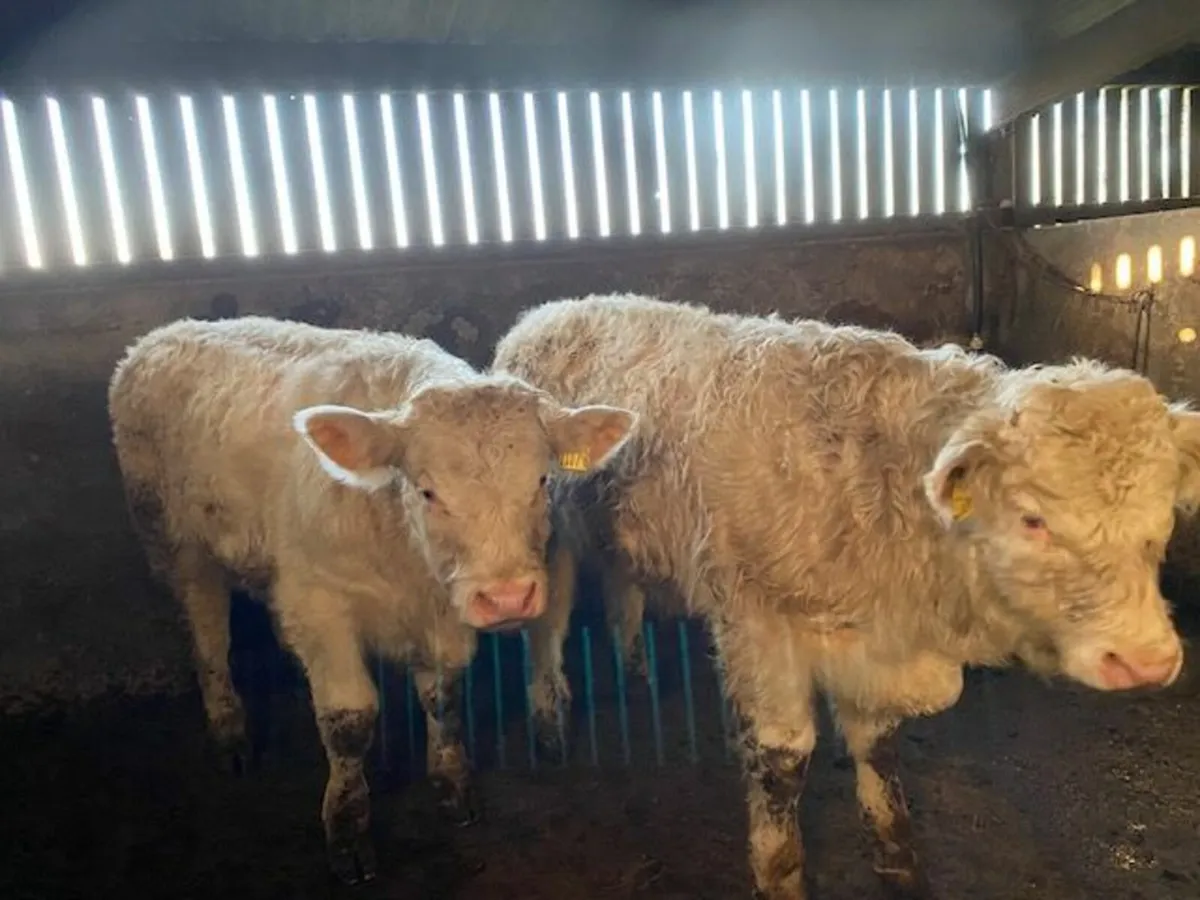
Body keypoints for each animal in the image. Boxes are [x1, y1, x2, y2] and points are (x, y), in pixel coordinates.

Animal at [108, 316, 635, 885]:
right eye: (427, 491)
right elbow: (348, 720)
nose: (507, 597)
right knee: (209, 639)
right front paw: (346, 826)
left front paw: (452, 783)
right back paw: (229, 735)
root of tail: (161, 335)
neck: (407, 559)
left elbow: (443, 696)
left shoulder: (439, 615)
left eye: (540, 479)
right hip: (180, 548)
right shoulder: (322, 603)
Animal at [493, 293, 1193, 900]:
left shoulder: (870, 642)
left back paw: (636, 670)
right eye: (1032, 519)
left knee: (624, 588)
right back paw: (550, 726)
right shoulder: (758, 625)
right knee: (546, 629)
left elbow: (878, 752)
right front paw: (779, 874)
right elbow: (781, 761)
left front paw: (899, 864)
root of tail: (549, 312)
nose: (1145, 659)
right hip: (548, 542)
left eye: (1163, 518)